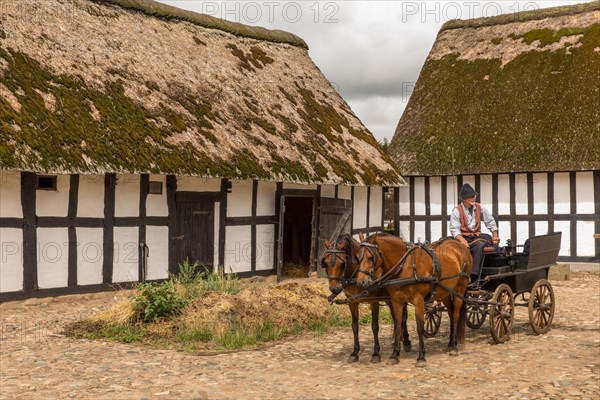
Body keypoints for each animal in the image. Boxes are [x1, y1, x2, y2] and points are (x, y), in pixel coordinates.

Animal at [324, 234, 412, 362]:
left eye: (342, 263)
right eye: (325, 263)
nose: (334, 288)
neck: (356, 275)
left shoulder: (373, 302)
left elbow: (374, 326)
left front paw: (376, 353)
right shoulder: (352, 302)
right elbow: (355, 326)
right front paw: (354, 353)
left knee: (403, 317)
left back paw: (406, 342)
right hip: (390, 300)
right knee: (396, 318)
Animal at [354, 236, 472, 368]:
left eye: (371, 257)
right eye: (357, 258)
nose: (361, 282)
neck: (405, 266)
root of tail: (460, 245)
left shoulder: (418, 300)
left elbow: (419, 327)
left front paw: (421, 357)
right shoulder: (397, 302)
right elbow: (398, 326)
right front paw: (394, 355)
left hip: (459, 290)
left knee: (456, 316)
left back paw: (454, 348)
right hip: (445, 292)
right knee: (451, 314)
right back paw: (451, 343)